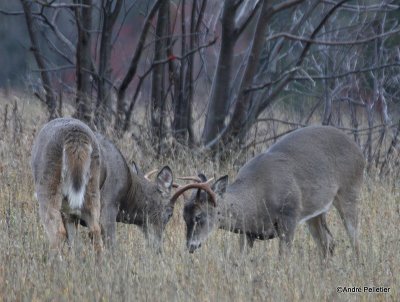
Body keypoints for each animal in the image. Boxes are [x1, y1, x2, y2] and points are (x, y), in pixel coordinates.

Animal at [31, 117, 175, 254]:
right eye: (170, 214)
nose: (158, 248)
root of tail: (76, 138)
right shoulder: (105, 202)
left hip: (50, 186)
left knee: (61, 231)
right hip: (88, 188)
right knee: (94, 232)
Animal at [172, 125, 366, 258]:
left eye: (199, 216)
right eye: (184, 216)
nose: (190, 246)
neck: (256, 197)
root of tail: (359, 151)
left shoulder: (289, 216)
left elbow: (283, 259)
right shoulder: (247, 233)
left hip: (349, 191)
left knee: (354, 240)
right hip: (316, 212)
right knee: (328, 244)